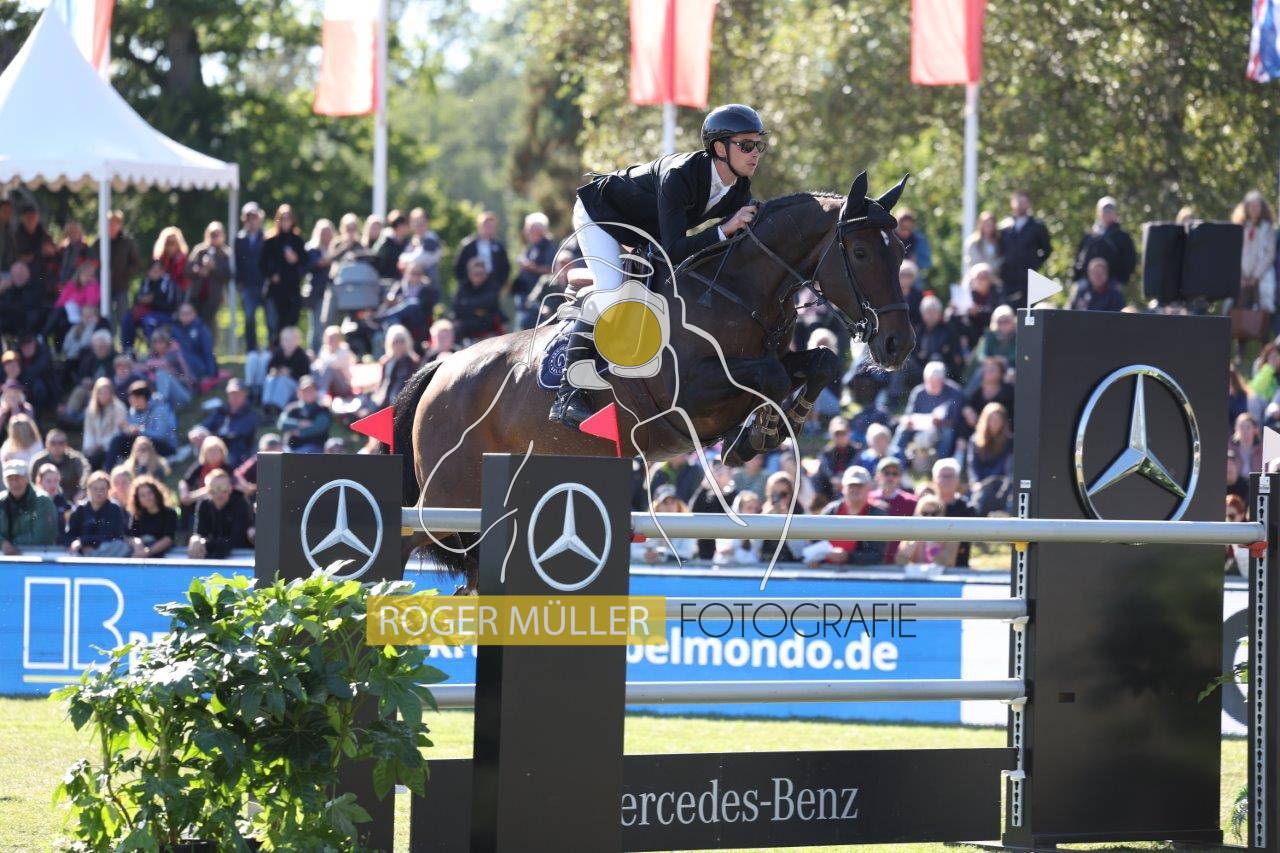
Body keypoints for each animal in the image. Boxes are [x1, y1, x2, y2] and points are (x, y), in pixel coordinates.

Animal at [392, 171, 915, 589]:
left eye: (902, 252)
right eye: (861, 252)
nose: (899, 345)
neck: (733, 293)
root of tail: (441, 370)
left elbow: (819, 361)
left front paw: (767, 429)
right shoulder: (688, 396)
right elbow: (770, 377)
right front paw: (755, 434)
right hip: (446, 501)